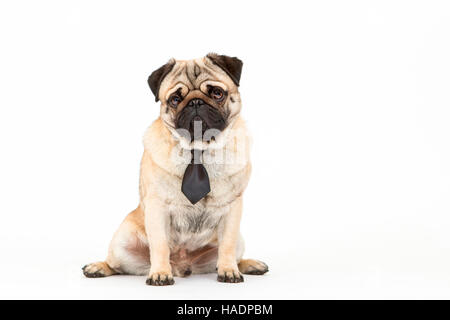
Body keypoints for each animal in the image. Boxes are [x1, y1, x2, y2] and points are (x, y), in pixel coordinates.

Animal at [82, 53, 268, 284]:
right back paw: (98, 267)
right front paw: (160, 273)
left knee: (234, 253)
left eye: (217, 93)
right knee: (116, 265)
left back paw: (248, 265)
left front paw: (229, 270)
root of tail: (182, 266)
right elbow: (160, 245)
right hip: (121, 242)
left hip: (239, 240)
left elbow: (227, 246)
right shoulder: (157, 208)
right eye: (175, 100)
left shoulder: (232, 209)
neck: (199, 148)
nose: (196, 102)